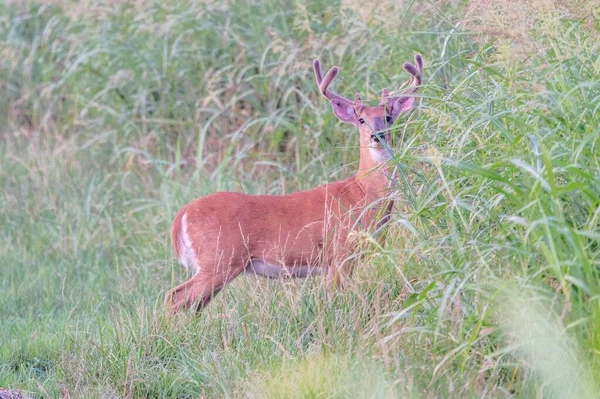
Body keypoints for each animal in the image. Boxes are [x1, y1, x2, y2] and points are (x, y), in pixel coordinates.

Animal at [164, 54, 424, 314]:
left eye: (388, 117)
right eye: (361, 119)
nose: (377, 135)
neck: (362, 193)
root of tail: (181, 216)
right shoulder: (339, 252)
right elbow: (335, 298)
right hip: (218, 259)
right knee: (173, 297)